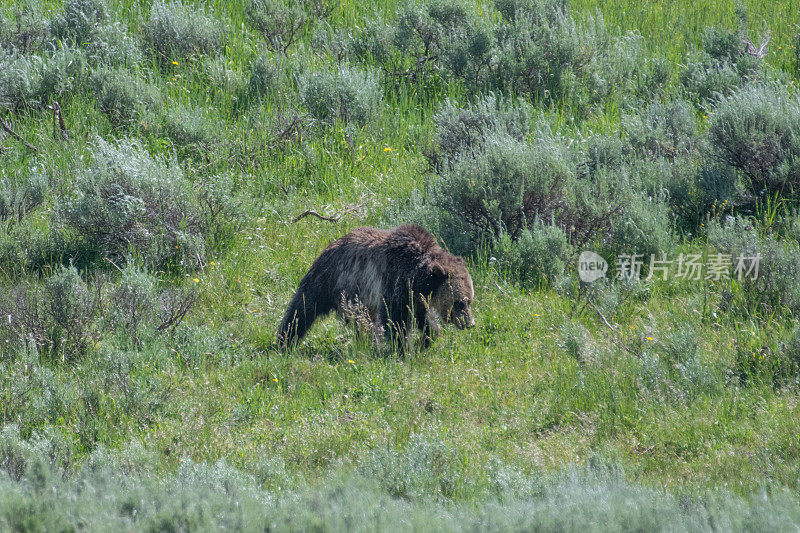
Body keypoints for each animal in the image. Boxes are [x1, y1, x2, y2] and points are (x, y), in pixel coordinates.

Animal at [276, 223, 472, 352]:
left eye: (470, 301)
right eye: (459, 302)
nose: (470, 323)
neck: (417, 276)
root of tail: (329, 246)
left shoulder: (416, 297)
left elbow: (424, 318)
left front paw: (425, 339)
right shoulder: (394, 283)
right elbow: (396, 321)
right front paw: (402, 348)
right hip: (332, 282)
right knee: (303, 309)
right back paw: (285, 340)